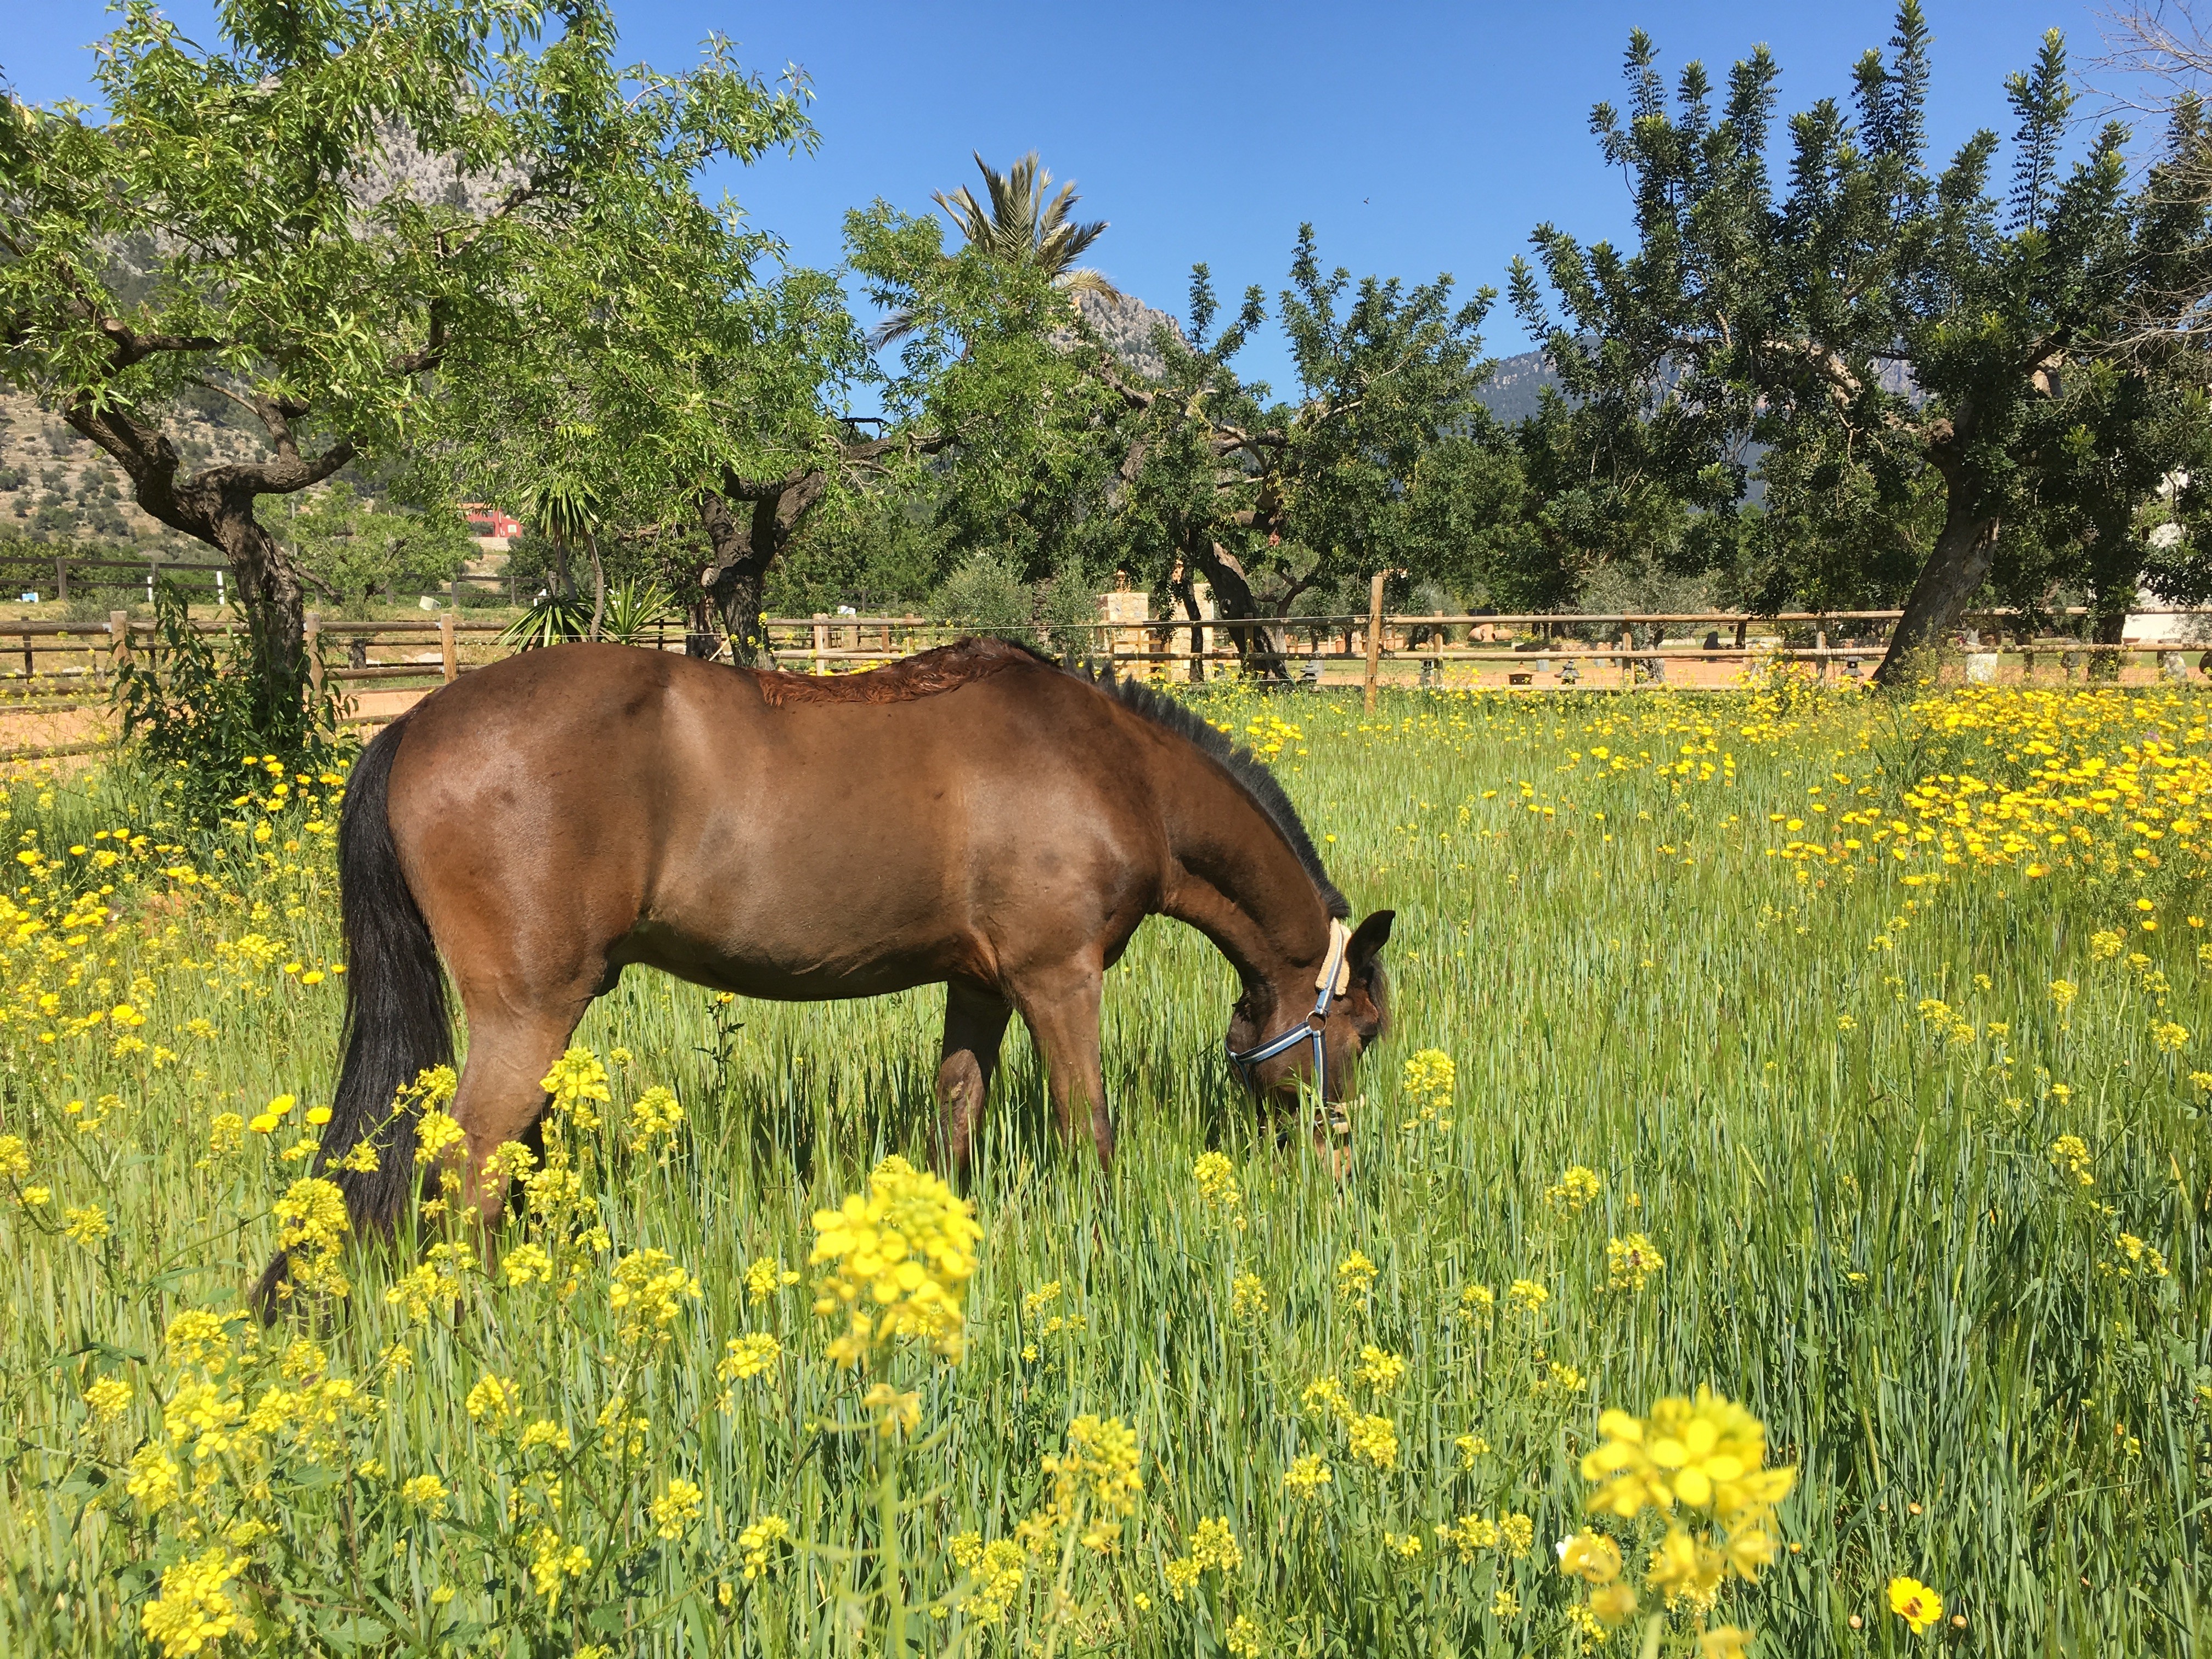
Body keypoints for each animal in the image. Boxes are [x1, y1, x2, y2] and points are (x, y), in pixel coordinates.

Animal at [258, 641, 1389, 1309]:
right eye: (1363, 1032)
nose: (1341, 1171)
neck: (1120, 770)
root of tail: (412, 722)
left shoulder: (979, 984)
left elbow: (956, 1114)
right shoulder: (1057, 978)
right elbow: (1089, 1129)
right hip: (527, 1013)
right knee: (471, 1170)